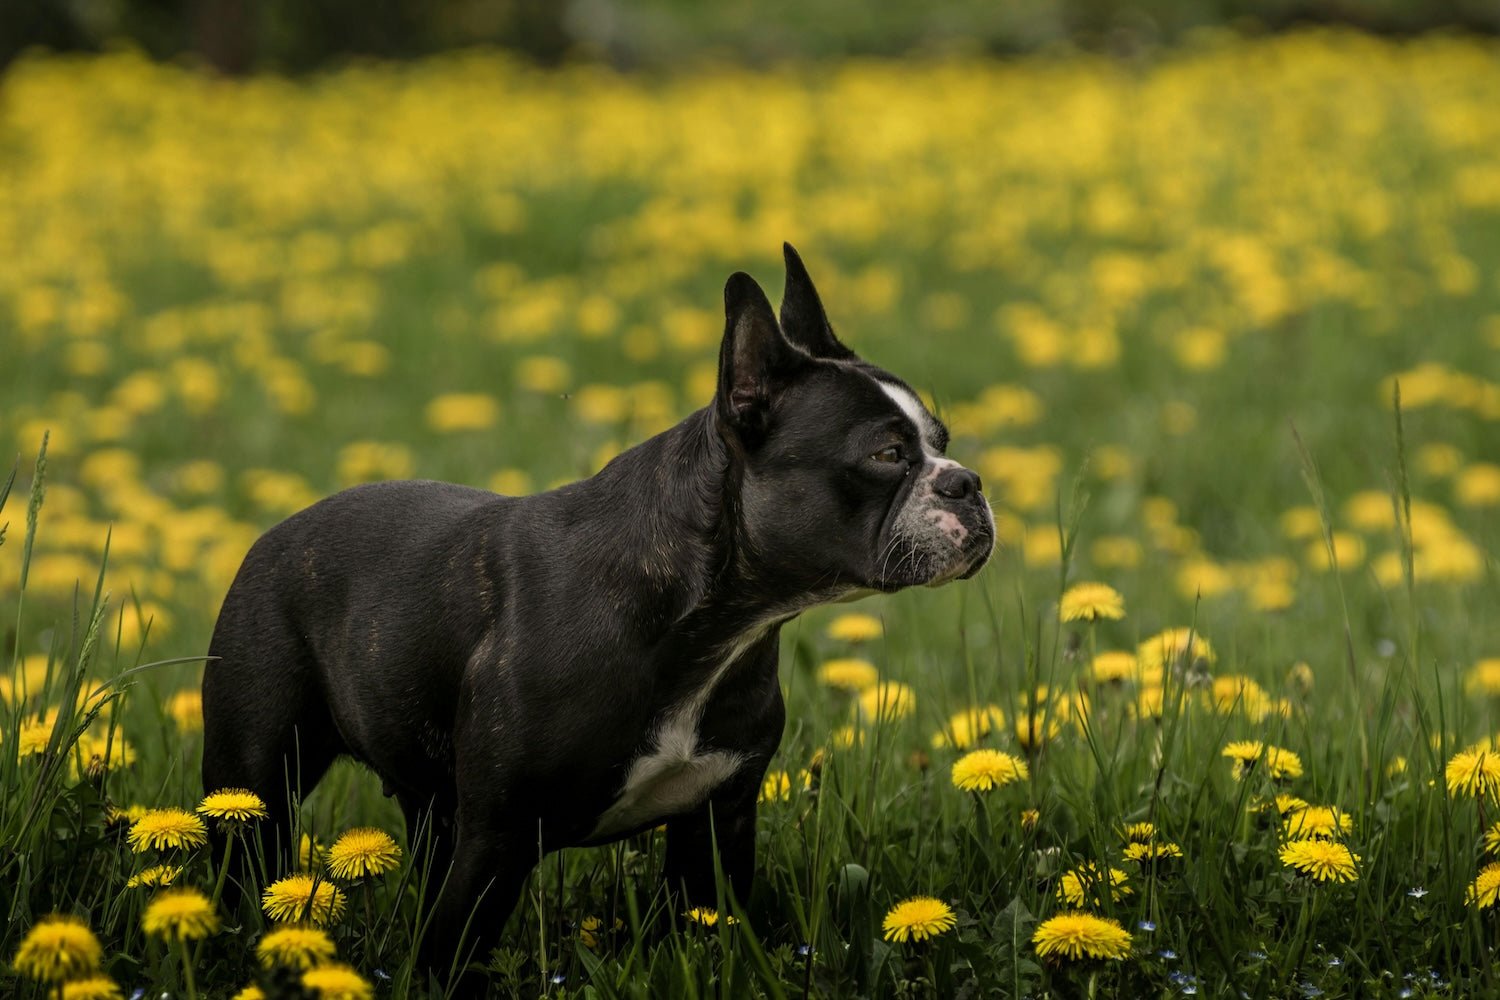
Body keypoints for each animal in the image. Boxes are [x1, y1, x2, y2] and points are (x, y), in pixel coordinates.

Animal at [199, 245, 996, 983]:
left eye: (943, 444)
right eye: (887, 454)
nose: (969, 482)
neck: (712, 626)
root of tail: (276, 533)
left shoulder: (718, 821)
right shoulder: (496, 841)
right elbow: (449, 956)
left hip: (431, 807)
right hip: (255, 782)